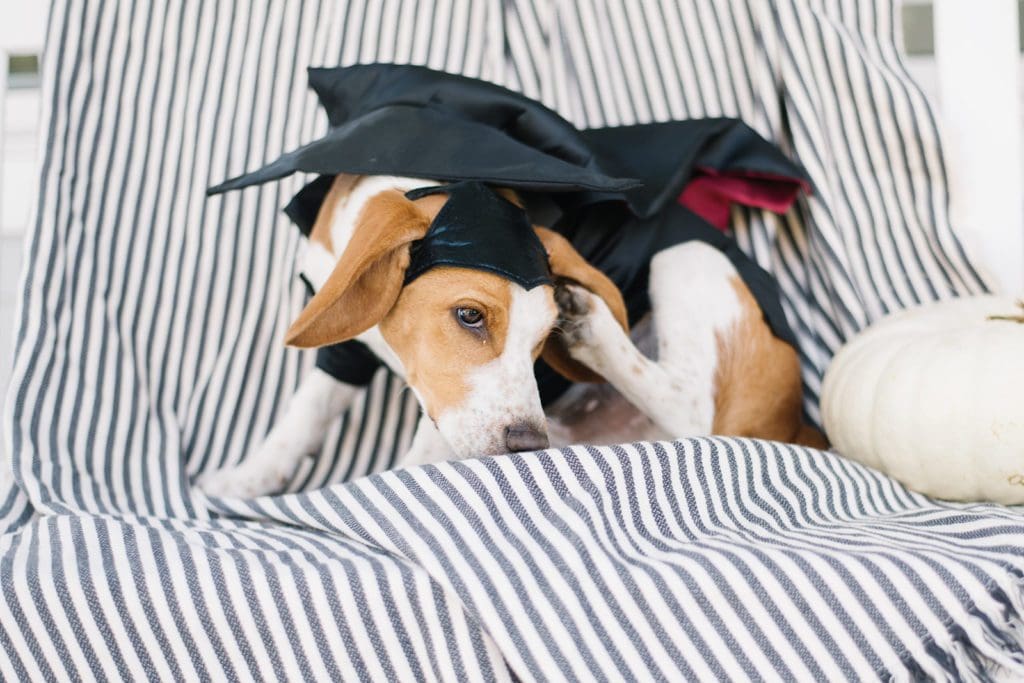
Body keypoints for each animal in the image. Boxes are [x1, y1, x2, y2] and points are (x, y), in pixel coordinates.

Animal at [197, 174, 823, 499]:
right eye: (470, 316)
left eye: (542, 340)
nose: (527, 445)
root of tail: (793, 419)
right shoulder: (347, 349)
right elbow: (300, 418)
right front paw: (242, 480)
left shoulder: (446, 412)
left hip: (686, 255)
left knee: (694, 410)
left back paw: (594, 325)